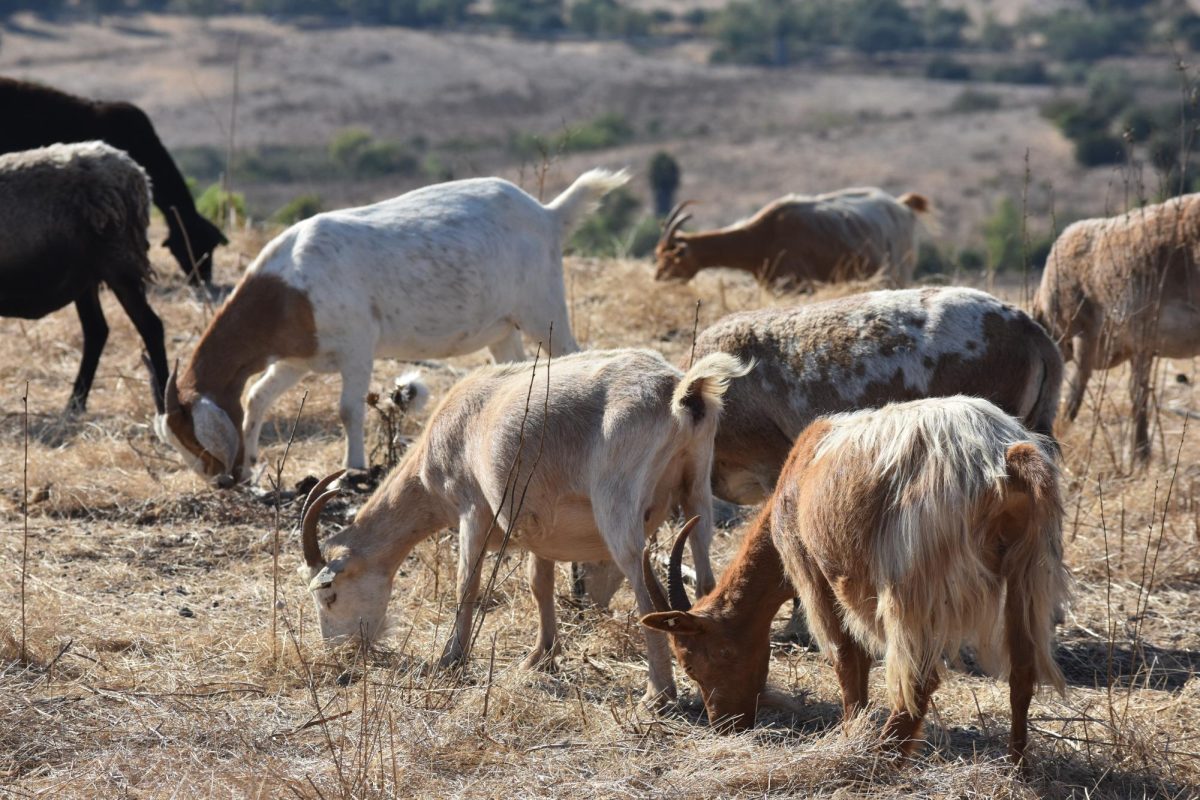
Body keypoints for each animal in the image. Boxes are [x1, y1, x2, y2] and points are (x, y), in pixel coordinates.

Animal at [648, 398, 1070, 767]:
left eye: (694, 662)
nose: (725, 725)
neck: (799, 474)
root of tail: (1002, 455)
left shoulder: (814, 573)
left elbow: (845, 657)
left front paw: (852, 734)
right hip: (1029, 567)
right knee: (1022, 669)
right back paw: (1018, 767)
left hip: (913, 582)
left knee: (920, 673)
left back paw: (884, 759)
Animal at [657, 188, 926, 287]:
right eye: (657, 254)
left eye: (671, 257)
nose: (658, 277)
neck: (761, 237)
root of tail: (903, 205)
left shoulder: (796, 284)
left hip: (899, 271)